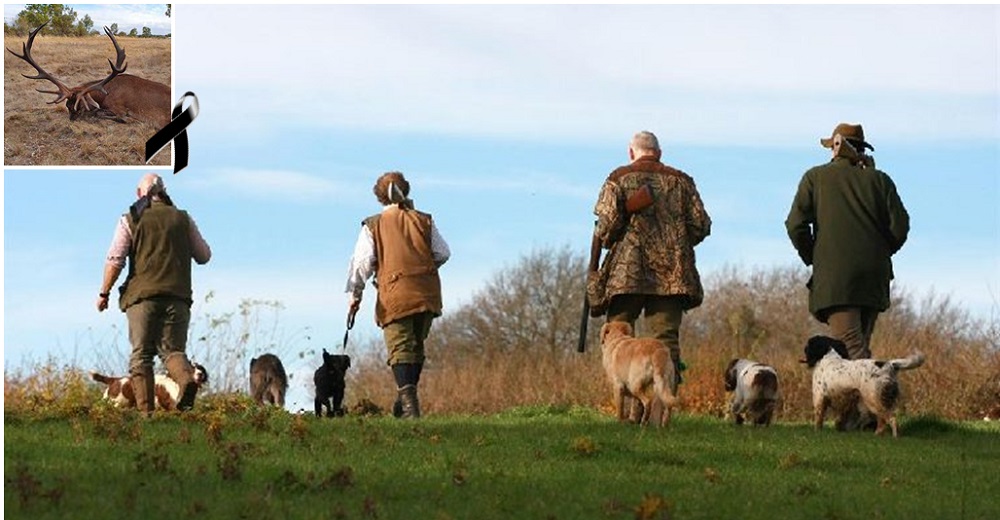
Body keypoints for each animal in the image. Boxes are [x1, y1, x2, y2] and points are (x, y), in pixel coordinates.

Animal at [6, 22, 171, 128]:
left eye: (80, 108)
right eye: (67, 106)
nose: (72, 120)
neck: (106, 93)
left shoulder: (118, 106)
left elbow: (114, 116)